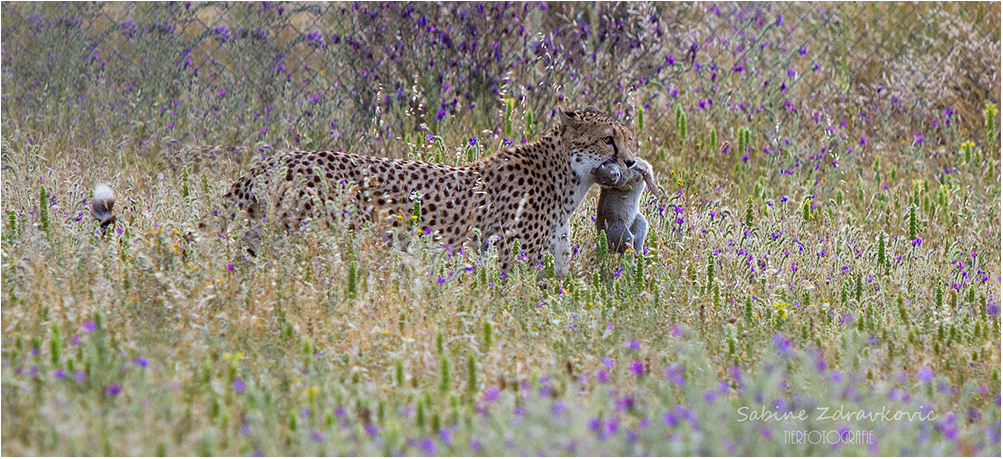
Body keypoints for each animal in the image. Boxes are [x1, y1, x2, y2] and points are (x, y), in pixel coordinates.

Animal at [214, 106, 637, 276]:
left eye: (628, 139)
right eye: (608, 140)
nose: (632, 163)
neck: (567, 177)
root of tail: (278, 158)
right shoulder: (510, 265)